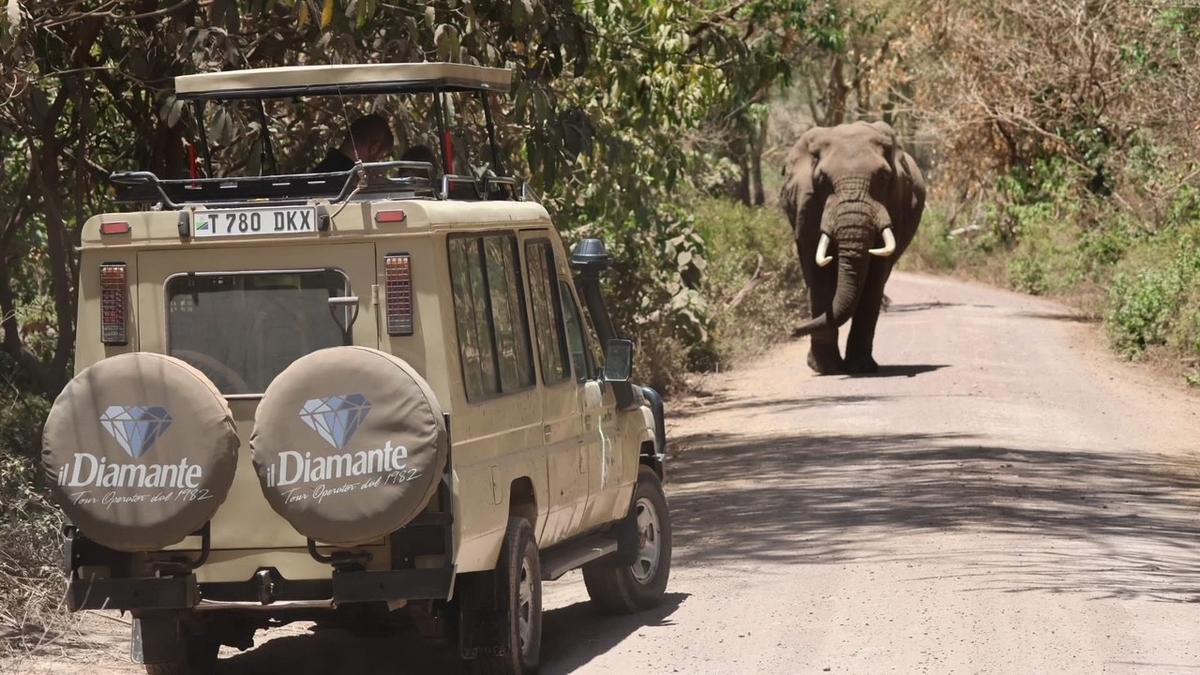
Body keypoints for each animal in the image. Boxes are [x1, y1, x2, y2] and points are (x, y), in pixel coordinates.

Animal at [781, 120, 925, 375]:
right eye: (821, 179)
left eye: (883, 177)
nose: (792, 329)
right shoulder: (805, 204)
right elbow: (817, 275)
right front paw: (826, 369)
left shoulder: (894, 203)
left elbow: (875, 274)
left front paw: (860, 368)